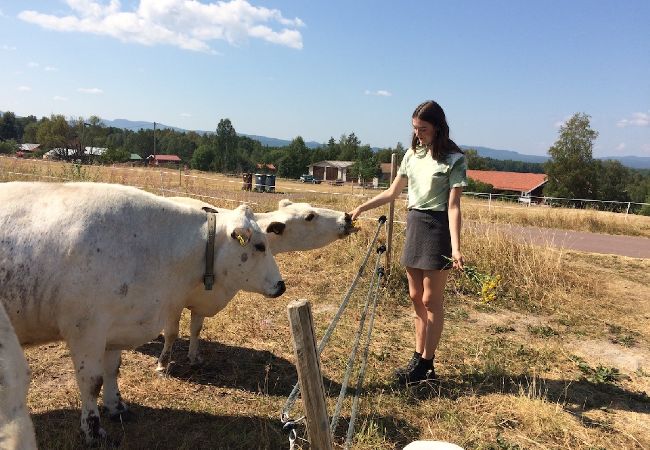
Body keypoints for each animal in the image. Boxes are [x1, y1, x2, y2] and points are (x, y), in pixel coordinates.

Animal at [0, 181, 284, 444]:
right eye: (260, 246)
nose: (281, 286)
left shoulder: (116, 327)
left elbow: (112, 370)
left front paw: (116, 406)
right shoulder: (86, 330)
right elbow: (91, 381)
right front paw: (93, 429)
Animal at [158, 196, 360, 370]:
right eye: (309, 216)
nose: (346, 217)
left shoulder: (203, 299)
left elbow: (196, 329)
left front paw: (193, 357)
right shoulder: (172, 301)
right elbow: (172, 332)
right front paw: (163, 362)